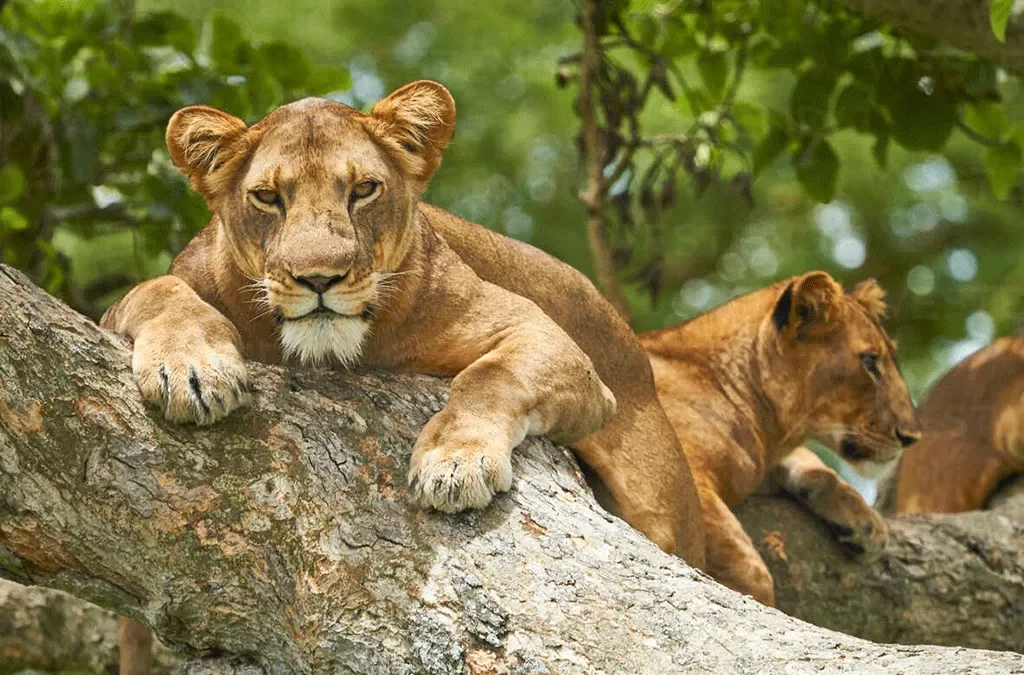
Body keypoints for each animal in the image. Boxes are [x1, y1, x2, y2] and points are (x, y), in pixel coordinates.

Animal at [103, 81, 707, 674]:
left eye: (364, 190)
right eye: (268, 198)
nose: (319, 278)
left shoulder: (545, 337)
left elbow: (490, 376)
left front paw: (455, 462)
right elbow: (155, 289)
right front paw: (192, 368)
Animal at [639, 271, 920, 605]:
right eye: (869, 361)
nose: (912, 436)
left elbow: (810, 461)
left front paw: (866, 523)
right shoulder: (682, 470)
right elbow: (749, 569)